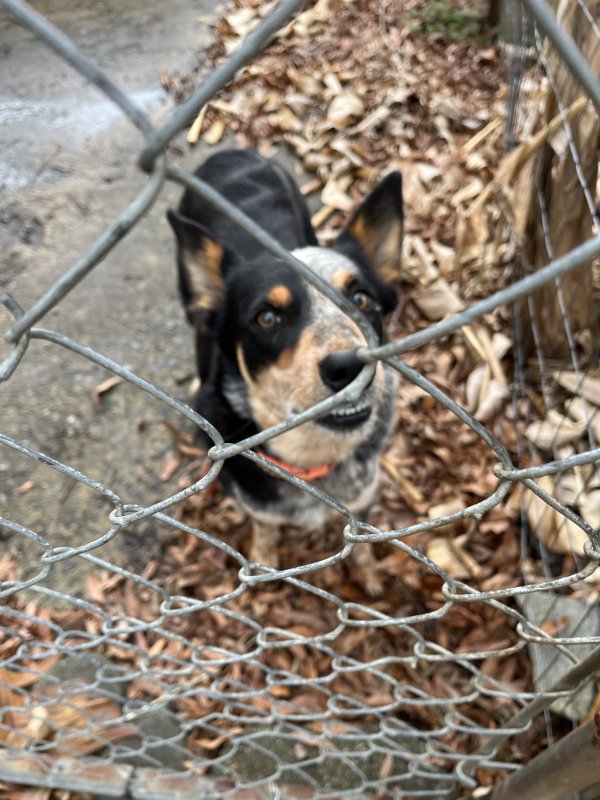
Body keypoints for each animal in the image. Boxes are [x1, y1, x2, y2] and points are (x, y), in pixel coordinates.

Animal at [168, 147, 404, 592]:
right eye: (266, 318)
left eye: (361, 298)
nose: (349, 365)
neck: (309, 462)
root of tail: (230, 151)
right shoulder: (254, 500)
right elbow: (264, 525)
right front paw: (263, 558)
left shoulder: (362, 495)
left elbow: (360, 538)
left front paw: (367, 570)